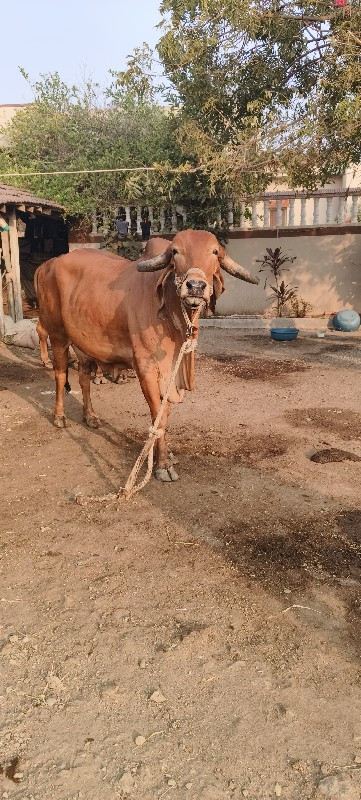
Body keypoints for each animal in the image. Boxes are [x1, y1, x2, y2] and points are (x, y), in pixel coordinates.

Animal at [35, 231, 258, 482]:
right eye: (175, 252)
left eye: (214, 252)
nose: (195, 286)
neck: (173, 321)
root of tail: (48, 264)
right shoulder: (146, 368)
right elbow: (156, 414)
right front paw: (162, 464)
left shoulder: (170, 372)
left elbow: (164, 414)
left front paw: (166, 453)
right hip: (58, 335)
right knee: (60, 374)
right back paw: (59, 416)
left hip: (84, 344)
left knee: (84, 379)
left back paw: (90, 416)